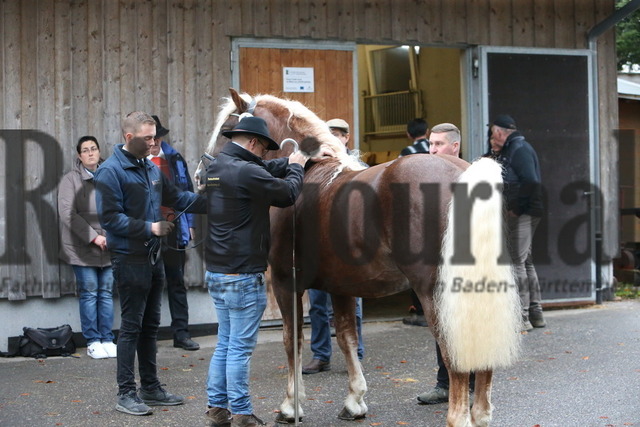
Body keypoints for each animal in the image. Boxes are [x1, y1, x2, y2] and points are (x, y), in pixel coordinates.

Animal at [199, 88, 522, 427]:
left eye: (227, 130)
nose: (200, 176)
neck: (310, 173)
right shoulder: (341, 286)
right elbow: (346, 337)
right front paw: (354, 402)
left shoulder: (287, 283)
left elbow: (292, 340)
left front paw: (290, 407)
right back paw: (480, 413)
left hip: (436, 295)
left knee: (453, 352)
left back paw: (458, 416)